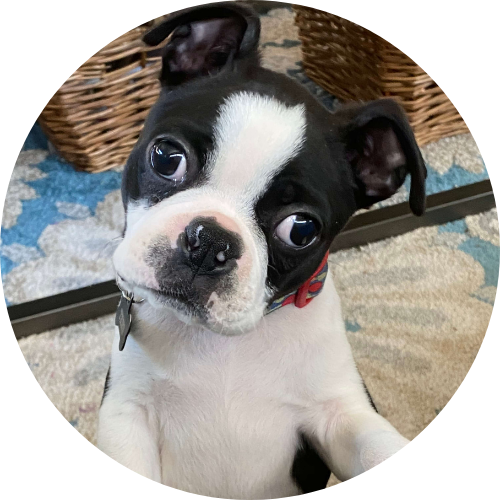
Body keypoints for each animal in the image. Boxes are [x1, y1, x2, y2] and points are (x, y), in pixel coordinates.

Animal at [97, 3, 426, 498]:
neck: (220, 346)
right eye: (166, 157)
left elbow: (376, 447)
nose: (209, 242)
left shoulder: (340, 413)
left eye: (301, 229)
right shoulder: (127, 413)